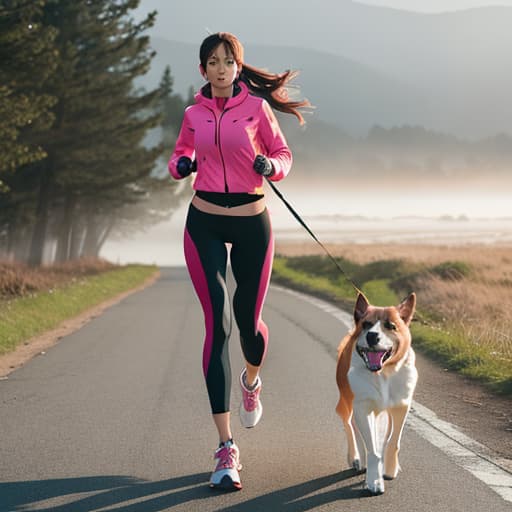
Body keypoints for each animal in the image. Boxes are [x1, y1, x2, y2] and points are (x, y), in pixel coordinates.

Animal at [334, 292, 418, 496]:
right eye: (366, 324)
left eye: (391, 326)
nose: (372, 335)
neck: (384, 373)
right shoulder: (362, 407)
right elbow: (372, 447)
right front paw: (374, 481)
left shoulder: (400, 406)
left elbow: (393, 441)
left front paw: (390, 469)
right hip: (347, 403)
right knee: (350, 426)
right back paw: (357, 459)